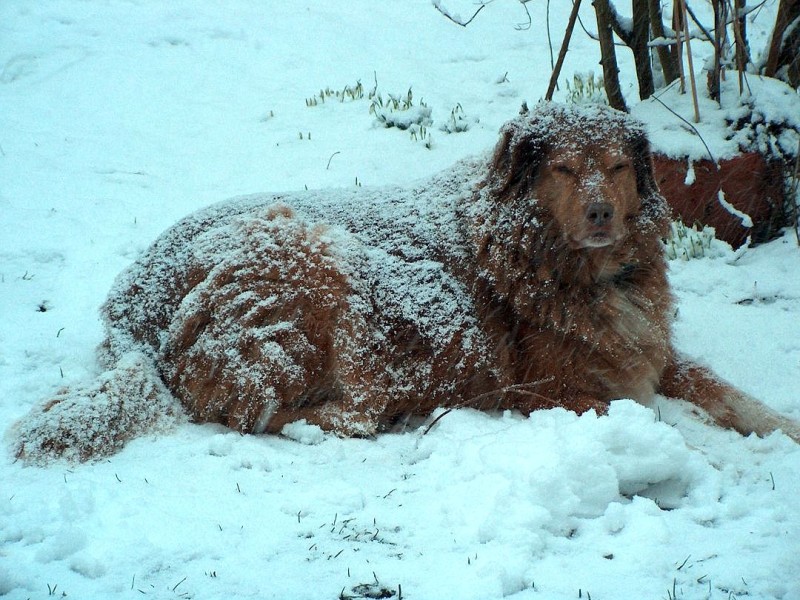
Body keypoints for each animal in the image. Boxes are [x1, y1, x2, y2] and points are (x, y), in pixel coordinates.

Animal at [14, 103, 800, 462]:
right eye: (564, 169)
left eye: (613, 166)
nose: (603, 214)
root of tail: (131, 302)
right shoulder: (541, 390)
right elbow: (653, 419)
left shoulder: (650, 351)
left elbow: (729, 392)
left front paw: (781, 428)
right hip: (318, 258)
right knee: (298, 414)